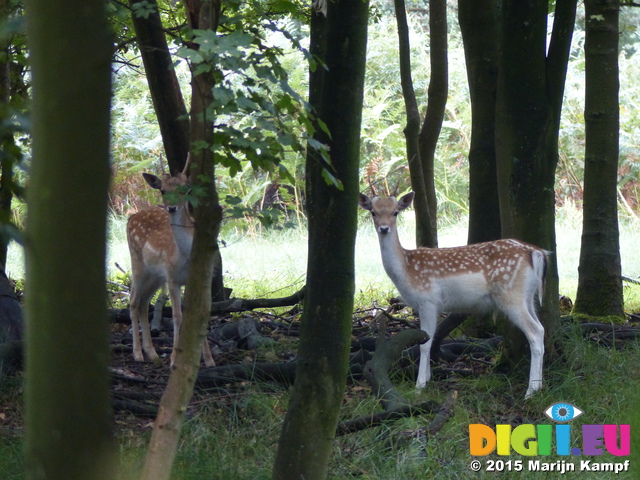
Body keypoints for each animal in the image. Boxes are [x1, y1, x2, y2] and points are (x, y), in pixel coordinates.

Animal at [127, 158, 215, 368]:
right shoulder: (173, 279)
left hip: (157, 276)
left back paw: (152, 353)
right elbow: (177, 316)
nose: (172, 208)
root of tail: (130, 218)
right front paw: (175, 358)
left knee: (143, 303)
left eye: (186, 190)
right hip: (138, 264)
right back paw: (138, 353)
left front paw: (208, 359)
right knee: (133, 301)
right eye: (163, 190)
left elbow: (200, 314)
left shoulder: (201, 279)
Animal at [358, 191, 548, 398]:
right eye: (373, 213)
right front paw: (427, 378)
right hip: (527, 296)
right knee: (541, 328)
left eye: (395, 213)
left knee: (535, 332)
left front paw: (419, 386)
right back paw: (539, 386)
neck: (406, 269)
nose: (384, 228)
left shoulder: (428, 300)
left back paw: (530, 391)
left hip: (510, 294)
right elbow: (429, 339)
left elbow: (425, 343)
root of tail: (536, 253)